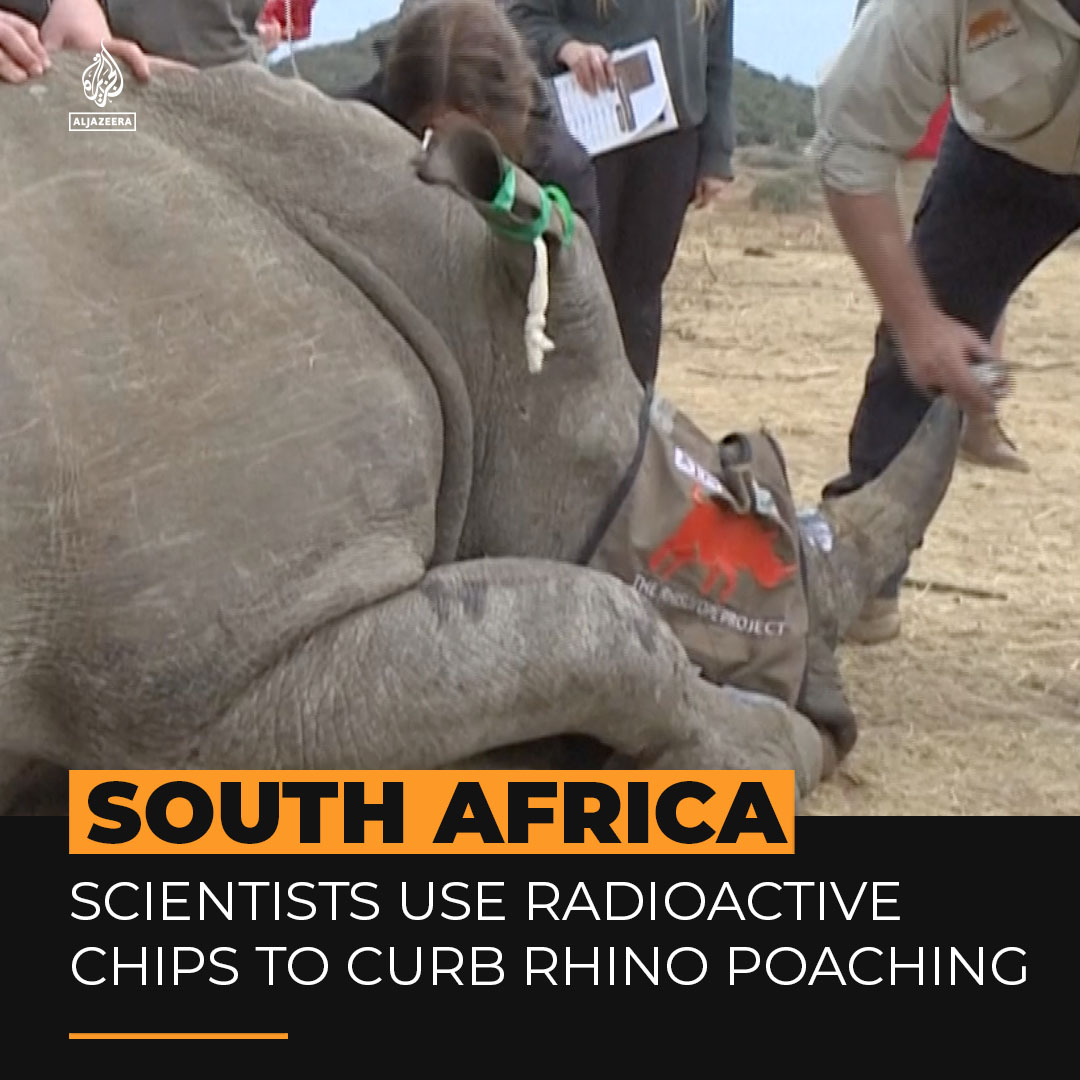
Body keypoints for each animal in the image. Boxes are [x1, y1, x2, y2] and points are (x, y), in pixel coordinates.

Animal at [0, 57, 960, 814]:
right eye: (734, 527)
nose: (840, 725)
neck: (462, 326)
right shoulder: (208, 697)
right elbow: (615, 626)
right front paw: (761, 751)